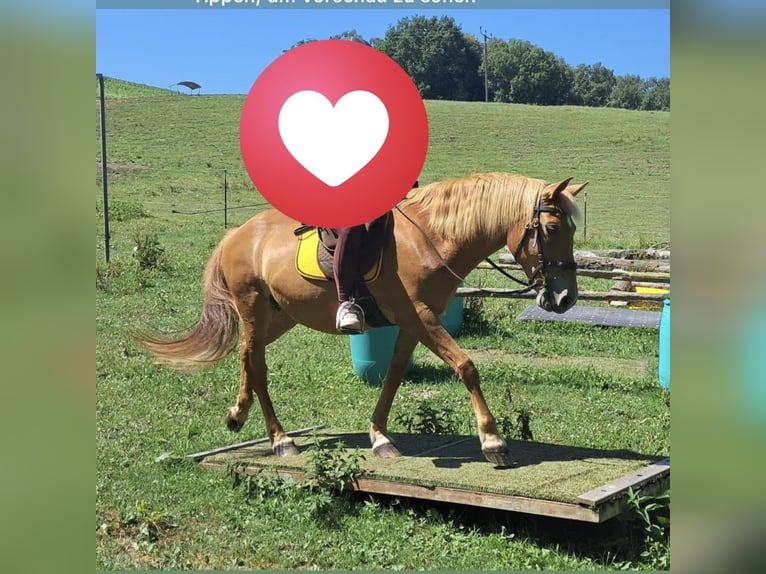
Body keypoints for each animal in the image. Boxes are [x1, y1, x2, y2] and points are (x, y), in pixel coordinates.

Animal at [139, 172, 586, 466]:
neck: (430, 237)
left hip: (280, 315)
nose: (565, 297)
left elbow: (393, 376)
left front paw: (380, 436)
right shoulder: (421, 316)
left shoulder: (413, 322)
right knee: (258, 364)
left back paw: (238, 413)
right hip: (252, 307)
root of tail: (238, 234)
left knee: (248, 355)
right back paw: (281, 439)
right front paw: (492, 441)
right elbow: (466, 366)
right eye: (551, 228)